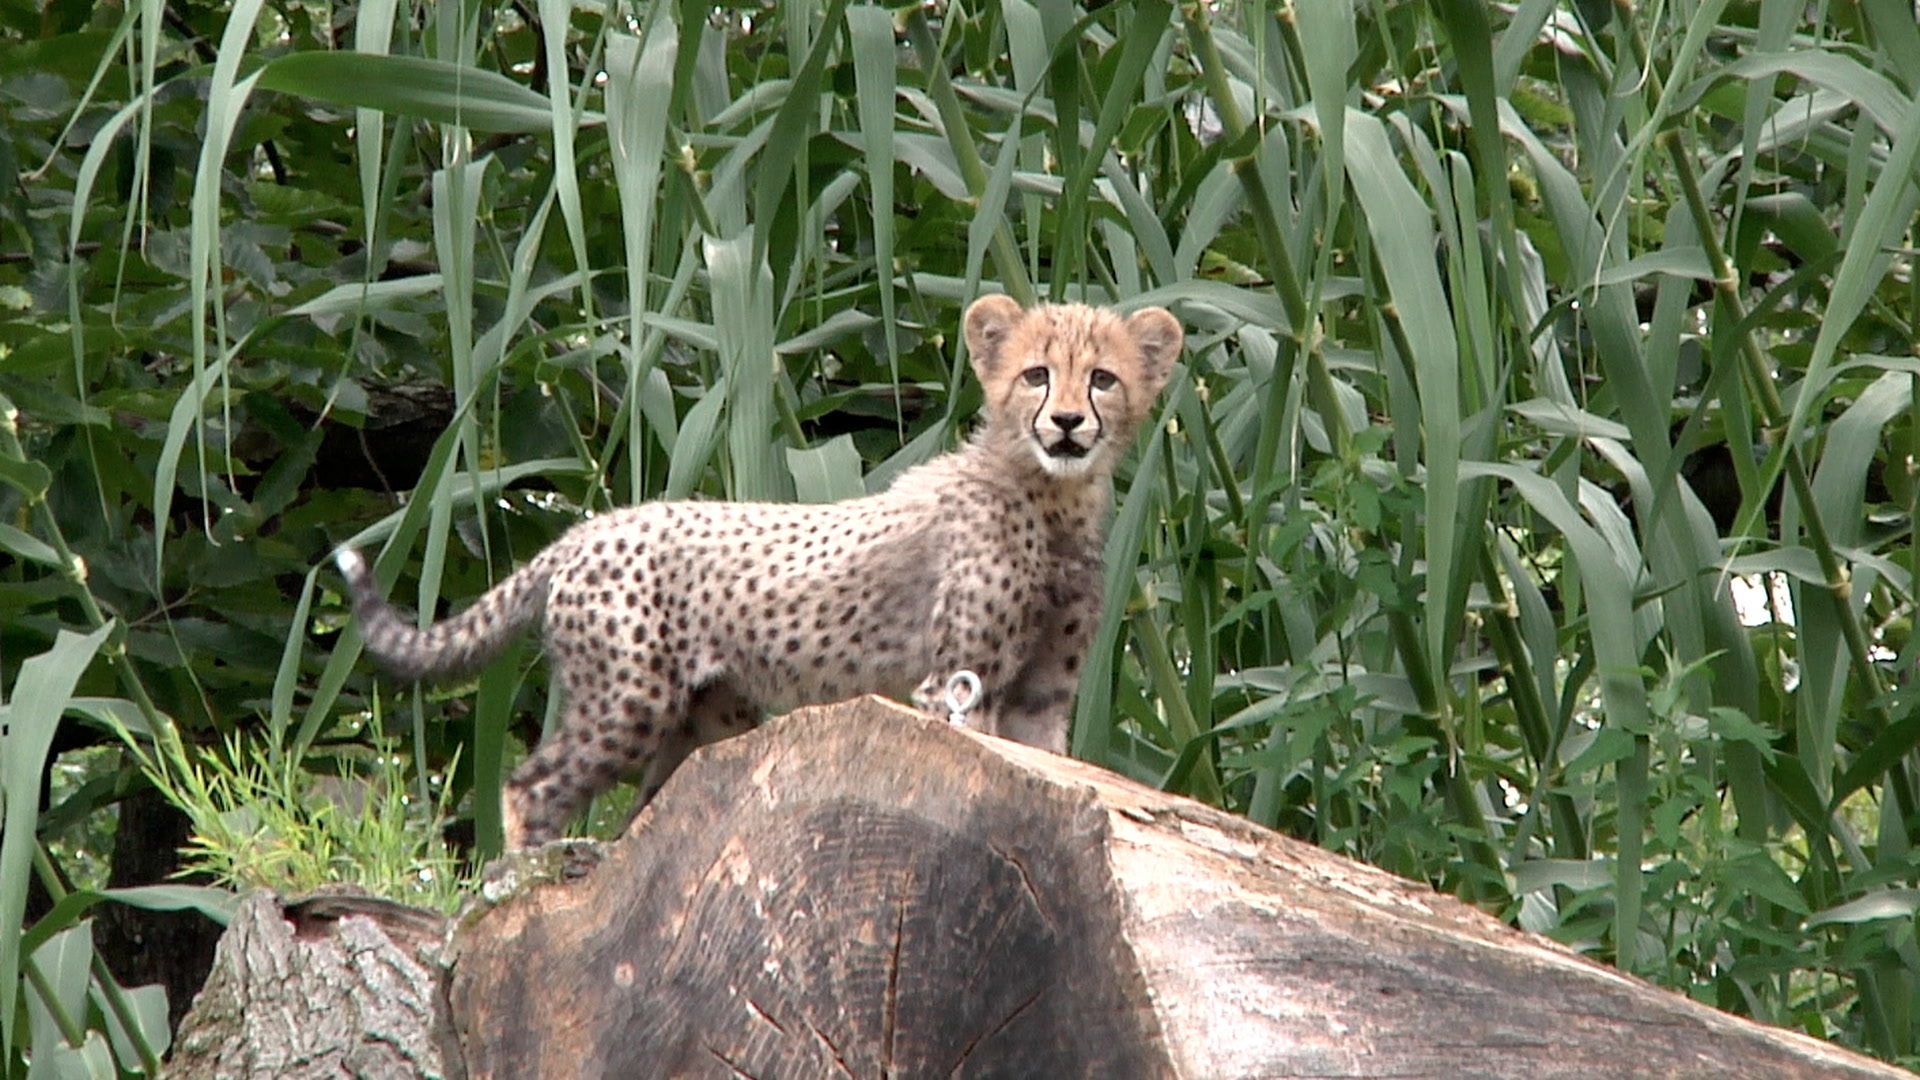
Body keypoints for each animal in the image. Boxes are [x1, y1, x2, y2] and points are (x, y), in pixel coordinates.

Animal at [335, 295, 1183, 848]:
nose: (1067, 423)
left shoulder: (1042, 696)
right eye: (1037, 375)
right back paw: (517, 888)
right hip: (628, 697)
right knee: (529, 786)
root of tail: (589, 528)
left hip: (707, 717)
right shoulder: (956, 683)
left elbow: (1054, 770)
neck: (1051, 497)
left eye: (1102, 379)